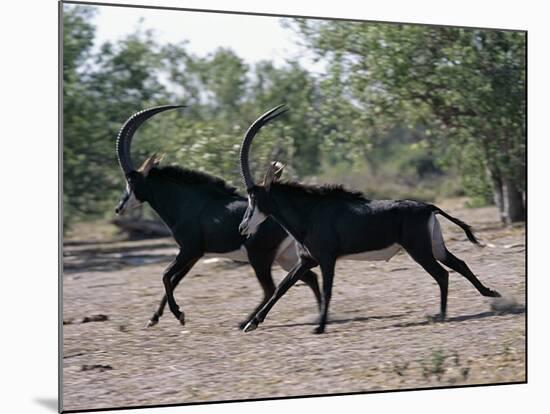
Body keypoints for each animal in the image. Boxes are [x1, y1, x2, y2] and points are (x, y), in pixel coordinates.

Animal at [116, 105, 324, 328]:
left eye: (131, 181)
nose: (119, 208)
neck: (186, 203)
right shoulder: (195, 254)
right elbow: (174, 280)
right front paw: (155, 317)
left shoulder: (188, 249)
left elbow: (165, 275)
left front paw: (178, 314)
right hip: (285, 257)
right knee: (309, 277)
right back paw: (318, 314)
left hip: (259, 257)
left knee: (270, 288)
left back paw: (246, 322)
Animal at [239, 105, 502, 334]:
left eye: (254, 197)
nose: (242, 227)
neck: (309, 213)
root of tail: (428, 206)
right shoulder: (307, 260)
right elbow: (282, 288)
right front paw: (252, 323)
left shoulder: (327, 259)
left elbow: (326, 290)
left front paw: (320, 327)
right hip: (435, 246)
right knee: (458, 264)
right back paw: (490, 293)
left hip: (419, 250)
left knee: (442, 274)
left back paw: (443, 313)